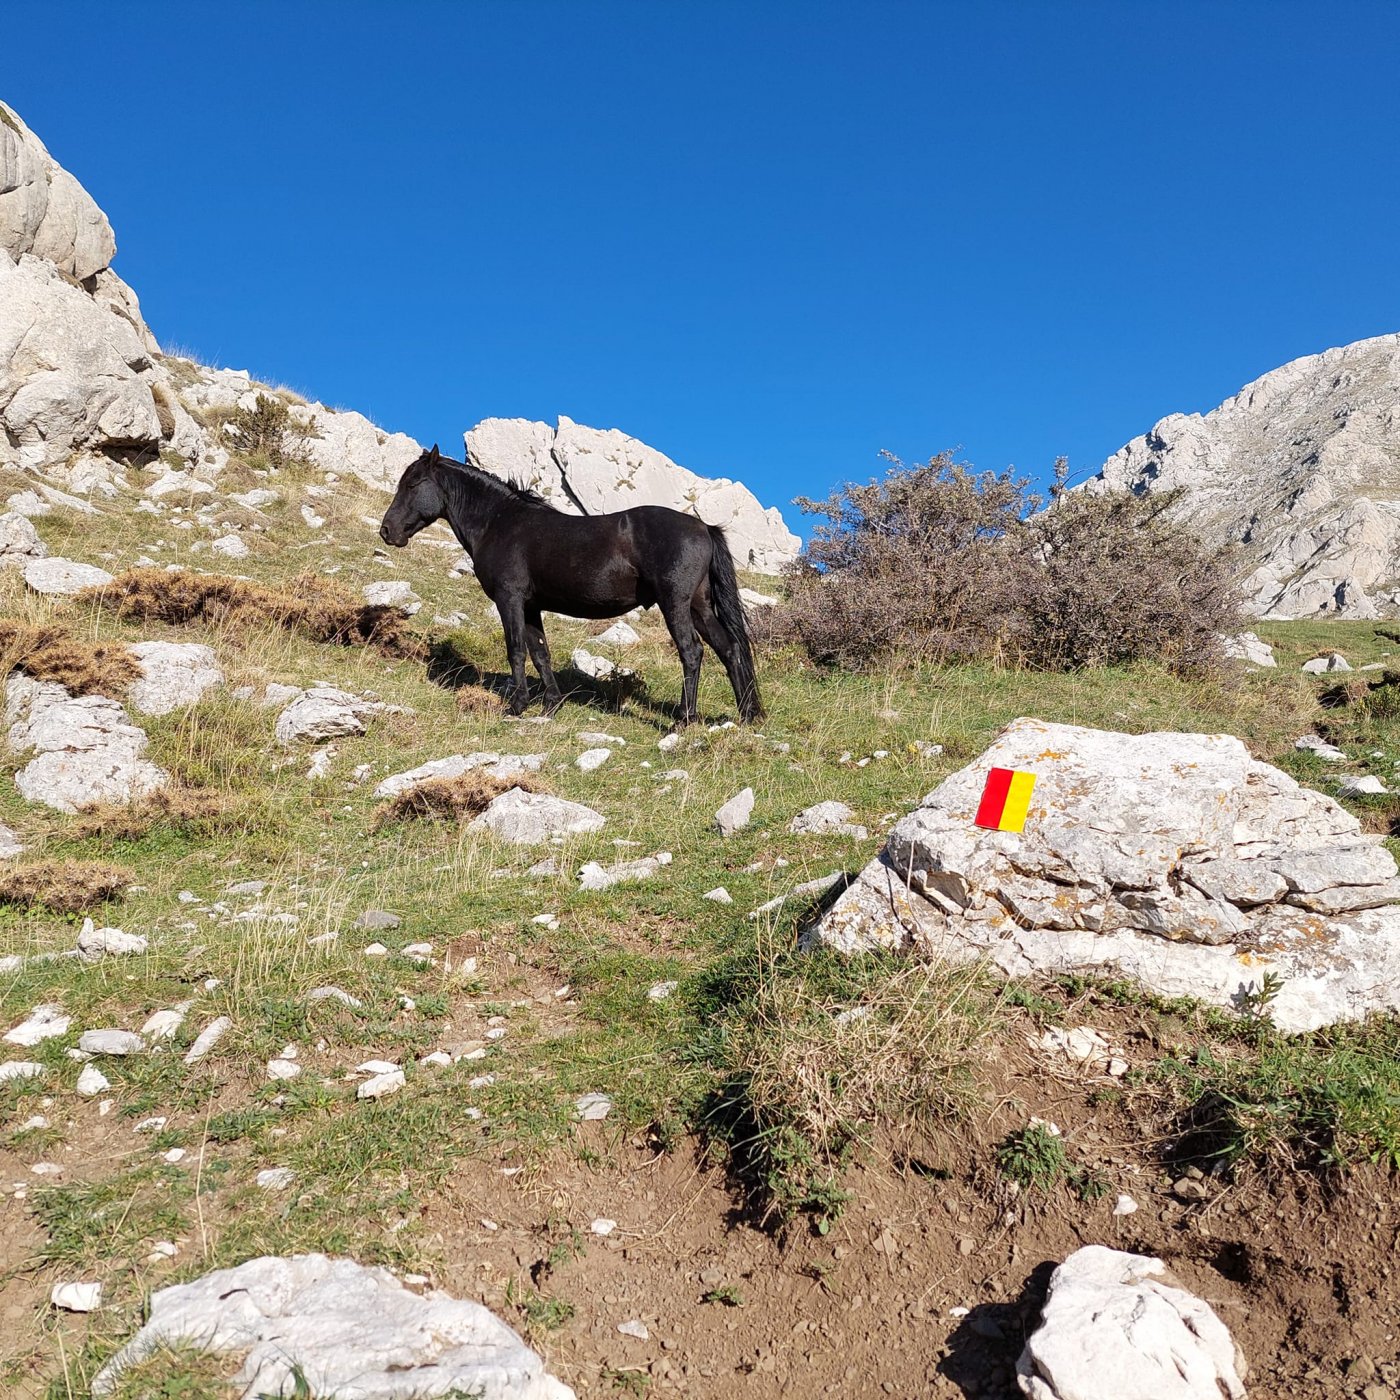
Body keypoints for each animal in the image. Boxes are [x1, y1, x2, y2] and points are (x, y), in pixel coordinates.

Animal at [378, 448, 761, 728]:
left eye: (414, 483)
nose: (387, 531)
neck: (499, 522)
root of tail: (703, 527)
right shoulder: (531, 606)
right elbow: (540, 653)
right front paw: (550, 705)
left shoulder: (509, 600)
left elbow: (516, 650)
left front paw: (516, 706)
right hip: (698, 606)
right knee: (730, 649)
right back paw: (747, 715)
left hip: (675, 604)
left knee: (692, 652)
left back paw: (685, 719)